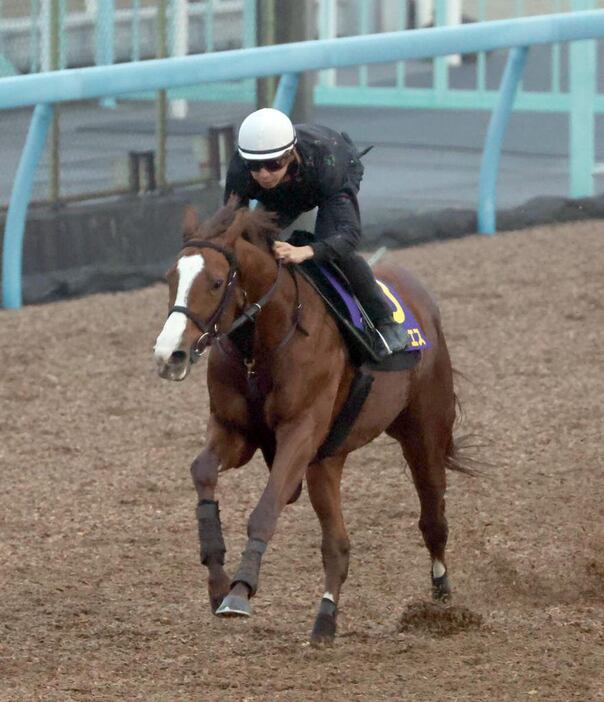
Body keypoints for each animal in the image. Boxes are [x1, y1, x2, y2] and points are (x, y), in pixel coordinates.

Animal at [153, 201, 470, 648]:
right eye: (171, 278)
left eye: (216, 282)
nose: (169, 355)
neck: (263, 347)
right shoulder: (236, 432)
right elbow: (202, 472)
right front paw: (217, 578)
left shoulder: (300, 433)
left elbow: (266, 508)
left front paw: (239, 590)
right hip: (327, 462)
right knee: (337, 545)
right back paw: (325, 621)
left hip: (423, 432)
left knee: (433, 518)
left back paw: (441, 595)